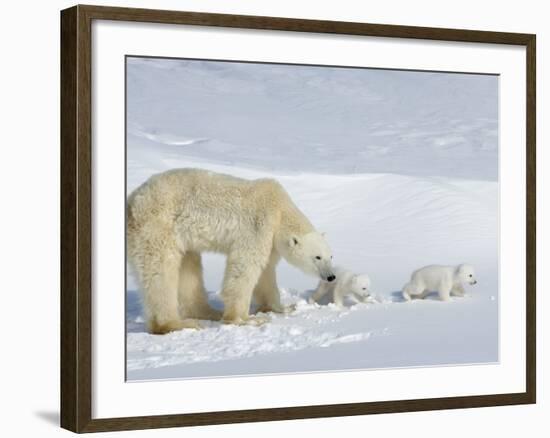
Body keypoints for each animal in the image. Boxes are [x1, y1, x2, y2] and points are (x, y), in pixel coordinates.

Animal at [128, 169, 336, 334]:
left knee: (189, 267)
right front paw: (246, 319)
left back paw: (208, 312)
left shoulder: (270, 239)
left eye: (331, 256)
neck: (279, 208)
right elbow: (245, 266)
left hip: (181, 238)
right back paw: (176, 324)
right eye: (317, 257)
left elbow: (266, 272)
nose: (331, 276)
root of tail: (131, 202)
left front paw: (282, 308)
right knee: (160, 273)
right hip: (157, 228)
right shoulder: (258, 225)